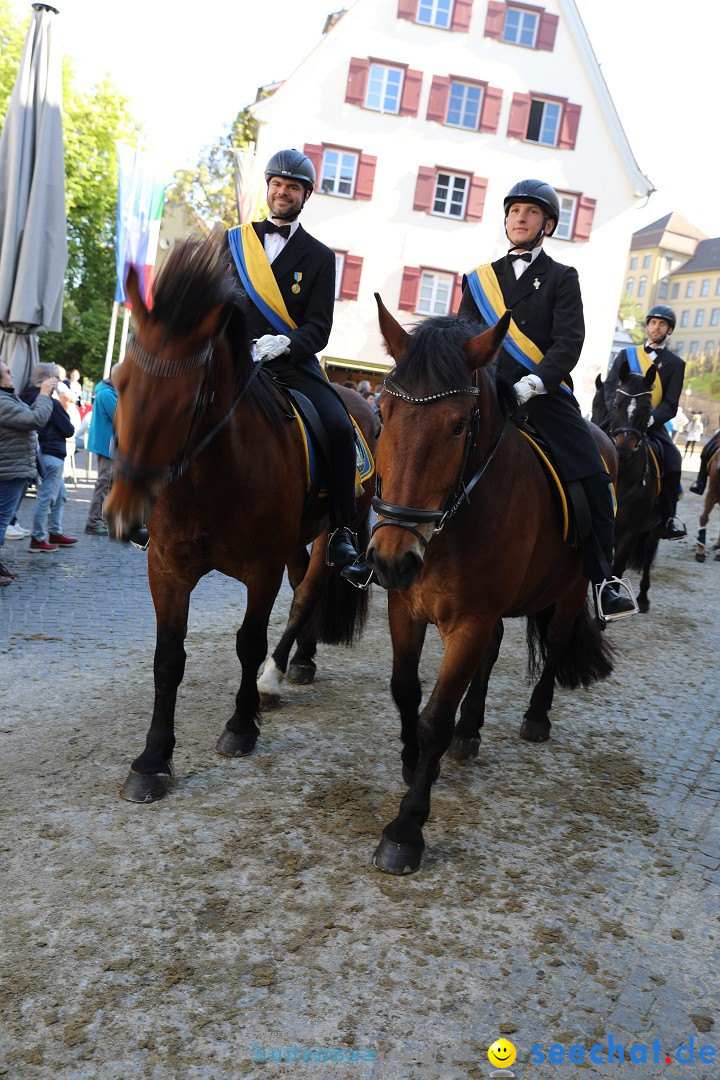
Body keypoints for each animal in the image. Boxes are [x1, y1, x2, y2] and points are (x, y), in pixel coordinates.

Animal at [106, 232, 379, 803]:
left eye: (184, 401)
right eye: (119, 382)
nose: (121, 516)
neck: (211, 476)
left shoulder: (261, 569)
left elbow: (248, 643)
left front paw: (240, 726)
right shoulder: (167, 567)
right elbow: (169, 658)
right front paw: (152, 759)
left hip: (331, 530)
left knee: (307, 591)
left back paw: (273, 677)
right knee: (302, 587)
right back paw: (300, 661)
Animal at [369, 300, 617, 872]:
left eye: (459, 426)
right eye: (383, 414)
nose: (392, 557)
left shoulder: (469, 621)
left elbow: (435, 716)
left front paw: (406, 828)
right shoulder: (405, 607)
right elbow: (405, 690)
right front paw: (413, 760)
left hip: (569, 591)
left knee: (557, 645)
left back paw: (536, 717)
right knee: (495, 651)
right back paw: (470, 731)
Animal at [591, 367, 664, 613]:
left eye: (647, 410)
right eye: (616, 405)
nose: (623, 450)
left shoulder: (629, 533)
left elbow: (617, 569)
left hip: (655, 529)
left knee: (649, 556)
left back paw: (643, 597)